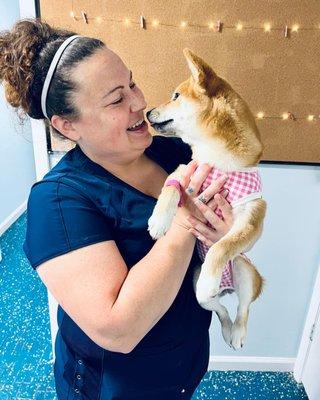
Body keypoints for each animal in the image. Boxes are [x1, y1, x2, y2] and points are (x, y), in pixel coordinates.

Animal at [146, 48, 266, 348]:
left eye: (176, 96)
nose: (147, 111)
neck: (216, 161)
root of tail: (226, 289)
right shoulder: (185, 170)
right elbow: (170, 188)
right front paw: (159, 221)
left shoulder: (251, 219)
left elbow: (222, 247)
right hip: (194, 281)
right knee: (218, 309)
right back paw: (224, 325)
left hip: (245, 271)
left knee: (242, 308)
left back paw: (236, 330)